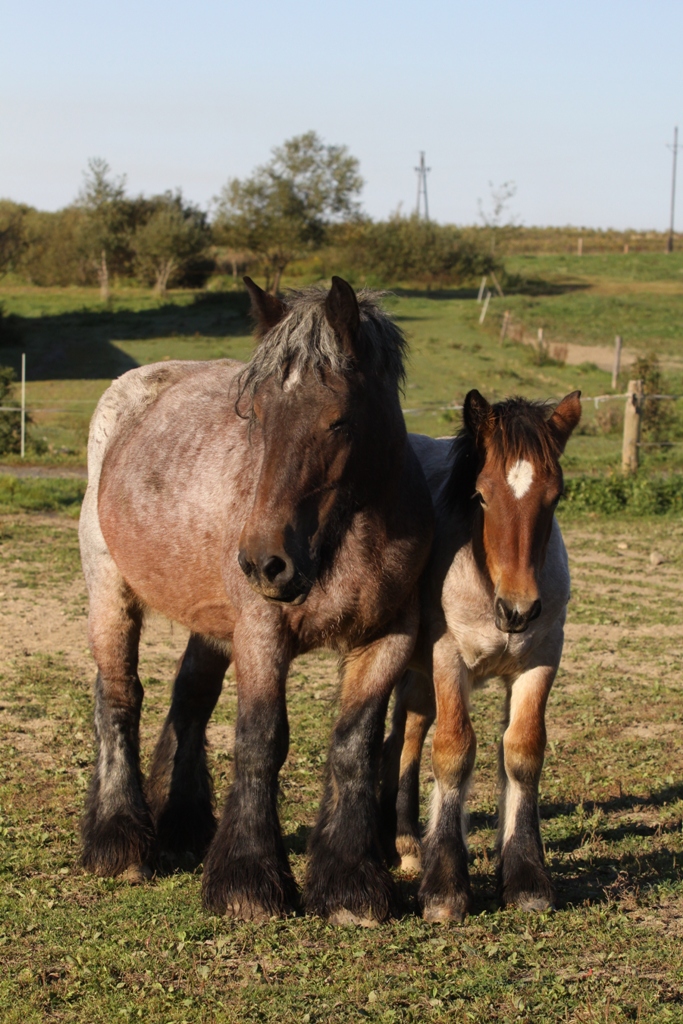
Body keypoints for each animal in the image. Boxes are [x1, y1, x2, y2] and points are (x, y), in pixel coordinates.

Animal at [78, 278, 432, 929]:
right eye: (259, 416)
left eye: (338, 420)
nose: (267, 563)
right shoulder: (262, 632)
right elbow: (261, 739)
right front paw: (246, 881)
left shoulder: (387, 636)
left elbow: (355, 745)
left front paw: (349, 885)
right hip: (110, 589)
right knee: (118, 695)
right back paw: (118, 842)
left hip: (211, 622)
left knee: (189, 698)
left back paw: (182, 824)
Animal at [378, 387, 581, 925]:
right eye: (482, 495)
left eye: (555, 496)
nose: (518, 610)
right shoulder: (448, 658)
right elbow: (453, 752)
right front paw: (445, 889)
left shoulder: (541, 660)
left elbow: (523, 751)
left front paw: (527, 879)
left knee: (405, 735)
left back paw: (406, 843)